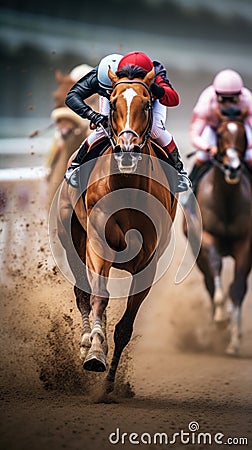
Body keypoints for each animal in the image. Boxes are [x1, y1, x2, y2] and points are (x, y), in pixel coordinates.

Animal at [55, 64, 177, 390]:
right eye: (112, 103)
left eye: (146, 104)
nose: (126, 149)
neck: (127, 185)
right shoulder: (98, 244)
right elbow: (98, 296)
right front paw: (95, 351)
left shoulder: (148, 263)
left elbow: (125, 327)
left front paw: (109, 383)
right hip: (71, 238)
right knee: (82, 293)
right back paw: (87, 339)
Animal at [183, 108, 252, 356]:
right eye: (220, 134)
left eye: (243, 135)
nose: (233, 168)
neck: (227, 199)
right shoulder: (207, 238)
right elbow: (216, 270)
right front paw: (222, 317)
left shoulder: (245, 242)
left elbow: (238, 287)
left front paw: (234, 338)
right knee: (210, 283)